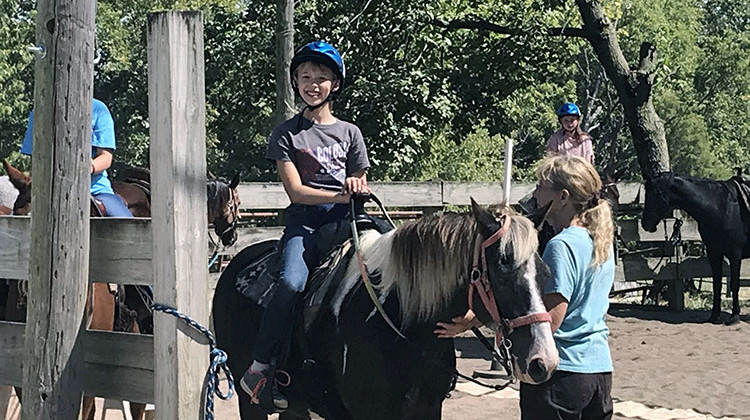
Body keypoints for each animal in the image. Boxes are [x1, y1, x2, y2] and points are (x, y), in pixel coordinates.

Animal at [644, 172, 750, 324]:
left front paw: (734, 316)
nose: (645, 223)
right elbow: (717, 284)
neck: (721, 207)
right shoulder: (714, 253)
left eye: (655, 193)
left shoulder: (735, 254)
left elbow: (735, 284)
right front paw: (714, 315)